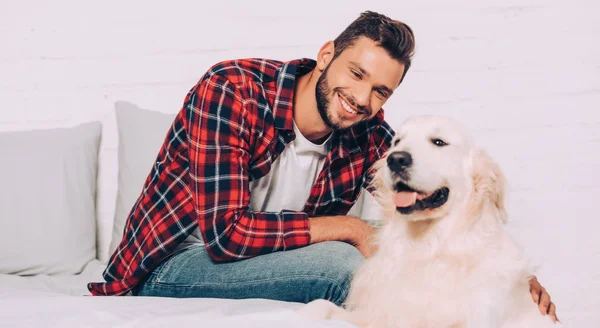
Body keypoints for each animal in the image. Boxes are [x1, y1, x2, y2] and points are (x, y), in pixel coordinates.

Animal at [298, 116, 560, 328]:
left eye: (439, 142)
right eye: (397, 142)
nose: (396, 159)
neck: (424, 246)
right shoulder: (377, 312)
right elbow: (320, 306)